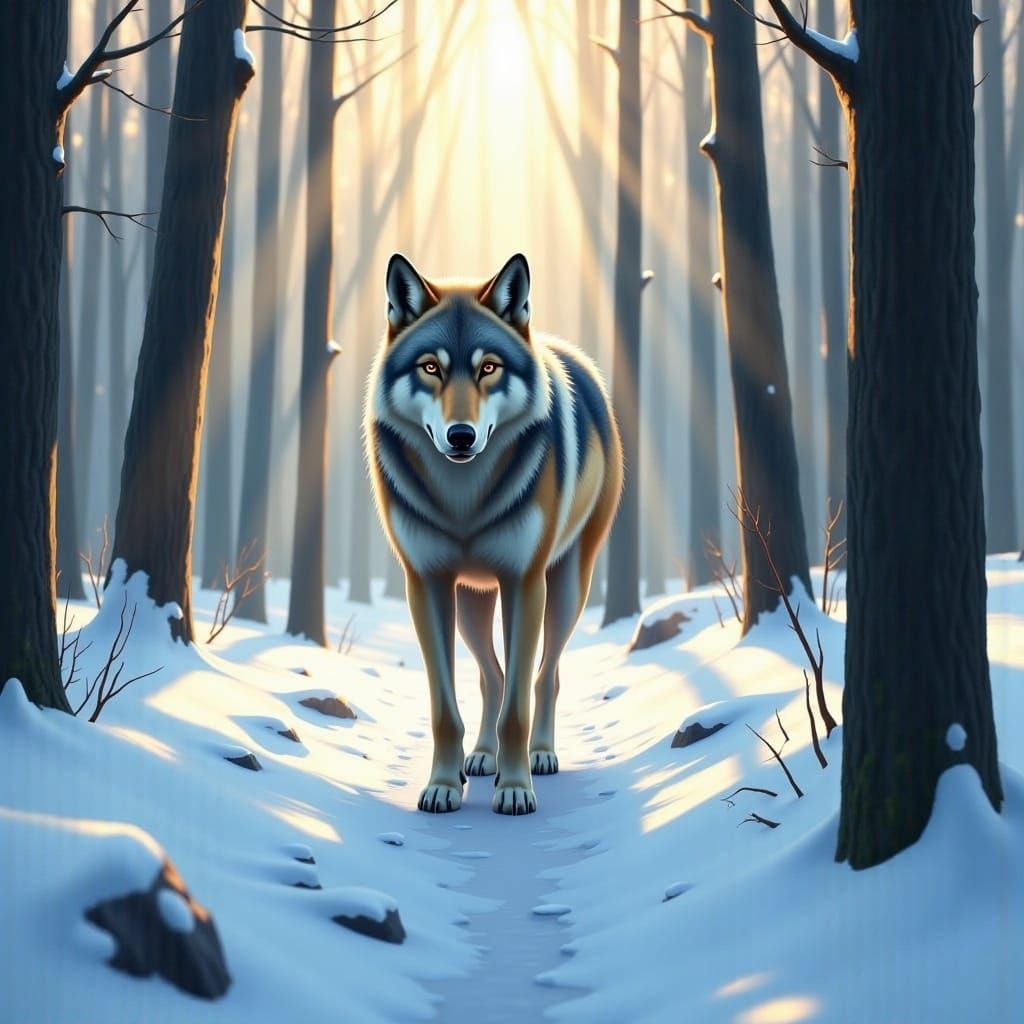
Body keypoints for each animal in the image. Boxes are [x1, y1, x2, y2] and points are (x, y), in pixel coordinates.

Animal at [364, 253, 622, 815]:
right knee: (493, 675)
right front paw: (443, 784)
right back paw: (481, 757)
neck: (463, 500)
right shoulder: (426, 585)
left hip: (564, 589)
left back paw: (541, 755)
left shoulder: (524, 582)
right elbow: (446, 706)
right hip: (471, 602)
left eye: (488, 367)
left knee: (545, 676)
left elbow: (518, 707)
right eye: (431, 367)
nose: (461, 436)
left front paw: (516, 788)